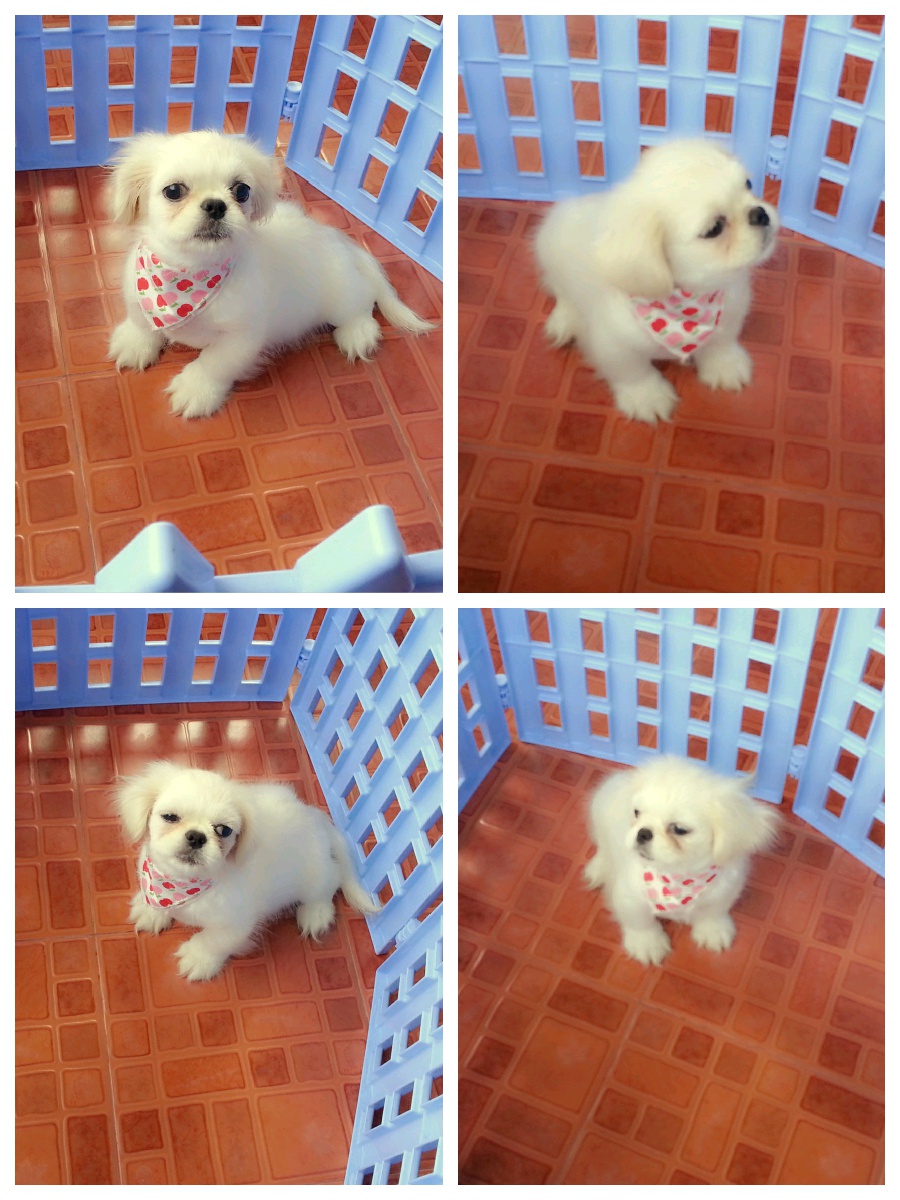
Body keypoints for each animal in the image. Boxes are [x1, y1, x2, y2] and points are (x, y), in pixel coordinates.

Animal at [107, 129, 434, 418]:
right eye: (173, 191)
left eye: (241, 190)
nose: (215, 205)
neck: (190, 275)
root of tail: (338, 239)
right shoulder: (138, 298)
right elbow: (141, 321)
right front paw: (136, 343)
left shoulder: (242, 338)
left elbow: (215, 362)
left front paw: (196, 389)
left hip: (341, 298)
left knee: (364, 304)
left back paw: (358, 333)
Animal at [114, 761, 380, 981]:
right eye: (170, 817)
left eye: (223, 830)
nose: (197, 837)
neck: (180, 885)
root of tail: (314, 816)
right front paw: (150, 910)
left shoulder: (238, 924)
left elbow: (214, 940)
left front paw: (198, 959)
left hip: (316, 876)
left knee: (331, 882)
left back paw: (316, 913)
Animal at [535, 139, 780, 423]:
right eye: (714, 229)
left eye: (748, 185)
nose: (760, 213)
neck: (694, 299)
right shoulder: (613, 345)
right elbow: (632, 371)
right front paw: (646, 397)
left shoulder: (730, 314)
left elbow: (720, 342)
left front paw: (725, 365)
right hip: (550, 253)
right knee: (560, 293)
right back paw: (563, 322)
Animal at [584, 756, 779, 966]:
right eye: (636, 813)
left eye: (679, 829)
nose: (643, 833)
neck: (680, 877)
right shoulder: (629, 898)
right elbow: (640, 921)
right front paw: (647, 944)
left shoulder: (725, 890)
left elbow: (713, 911)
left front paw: (713, 931)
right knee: (602, 849)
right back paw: (597, 870)